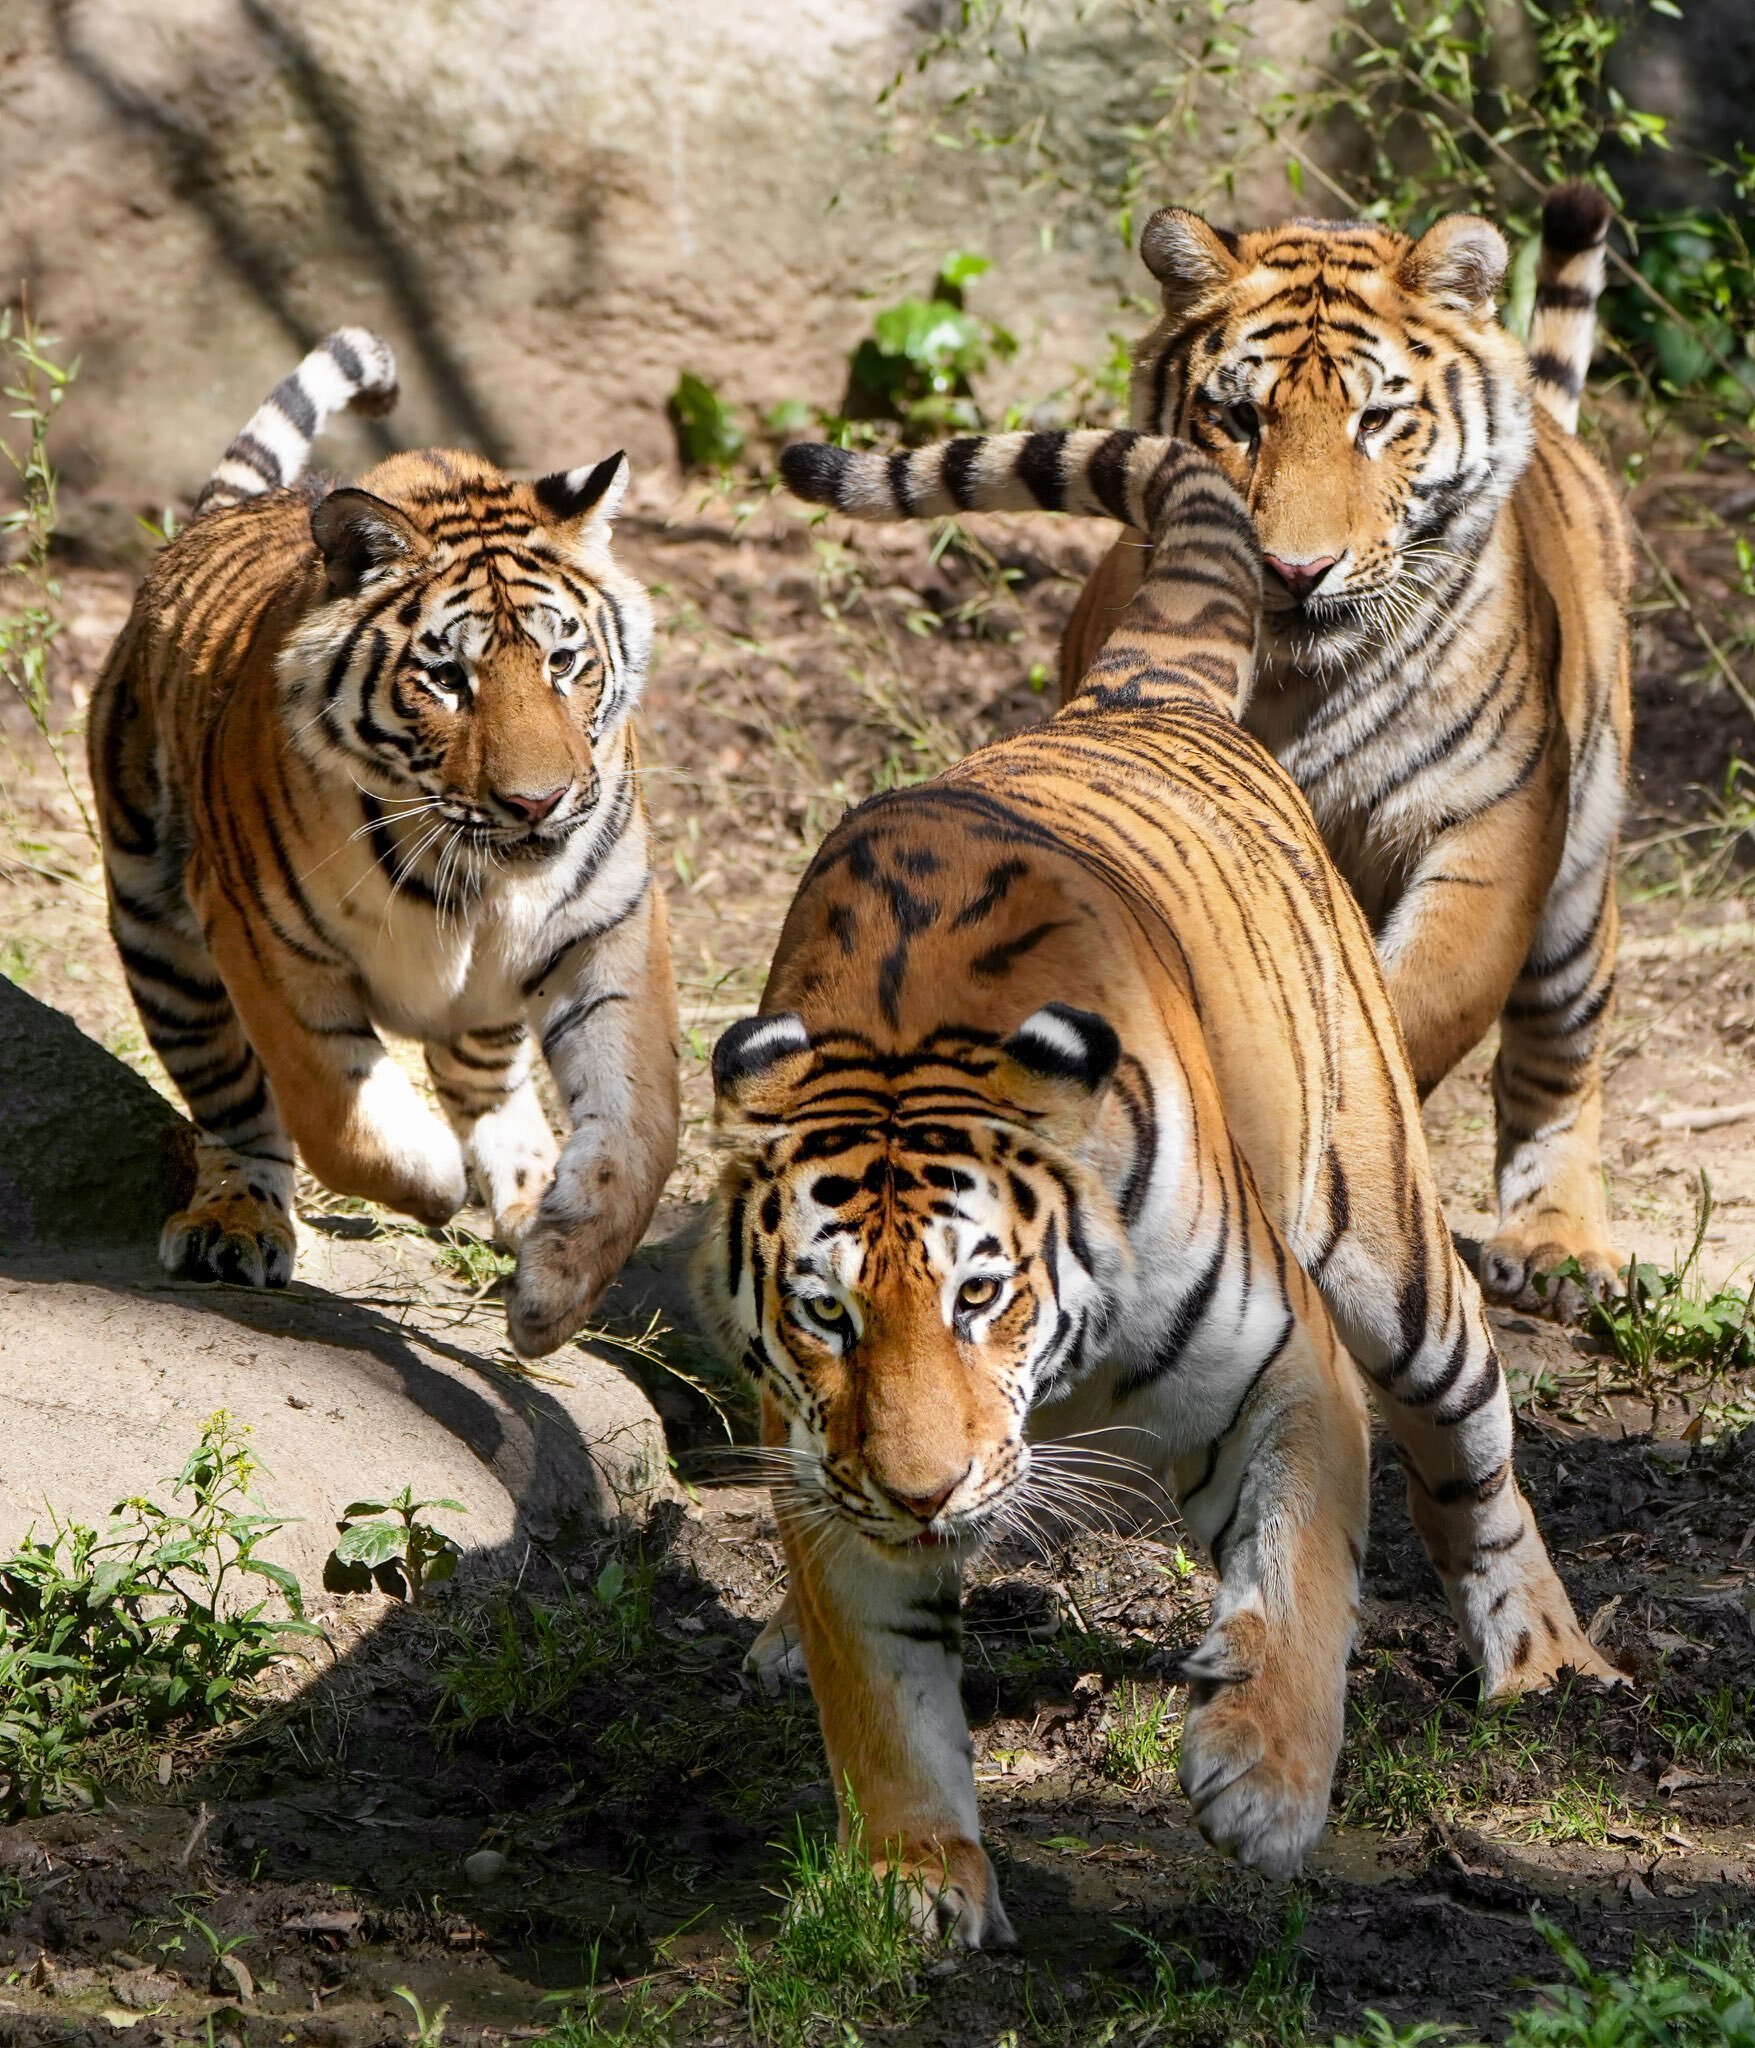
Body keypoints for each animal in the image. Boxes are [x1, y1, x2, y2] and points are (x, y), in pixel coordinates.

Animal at [87, 327, 679, 1359]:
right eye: (446, 678)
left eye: (564, 662)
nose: (538, 802)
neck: (480, 876)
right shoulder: (262, 936)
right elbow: (337, 1108)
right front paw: (429, 1182)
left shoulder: (610, 929)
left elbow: (635, 1134)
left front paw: (560, 1283)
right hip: (160, 936)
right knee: (236, 1106)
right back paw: (236, 1223)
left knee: (480, 1071)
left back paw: (525, 1190)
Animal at [696, 423, 1613, 1941]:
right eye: (827, 1313)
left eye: (980, 1296)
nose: (925, 1491)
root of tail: (1128, 694)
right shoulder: (826, 1467)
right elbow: (882, 1693)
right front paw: (915, 1881)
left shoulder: (1289, 1365)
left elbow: (1300, 1570)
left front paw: (1263, 1779)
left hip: (1390, 1251)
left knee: (1471, 1446)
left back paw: (1545, 1658)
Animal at [1056, 184, 1630, 1318]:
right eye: (1240, 417)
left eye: (1377, 420)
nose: (1294, 568)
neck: (1297, 682)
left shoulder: (1489, 830)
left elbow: (1412, 1019)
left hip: (1577, 886)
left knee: (1557, 1057)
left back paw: (1555, 1245)